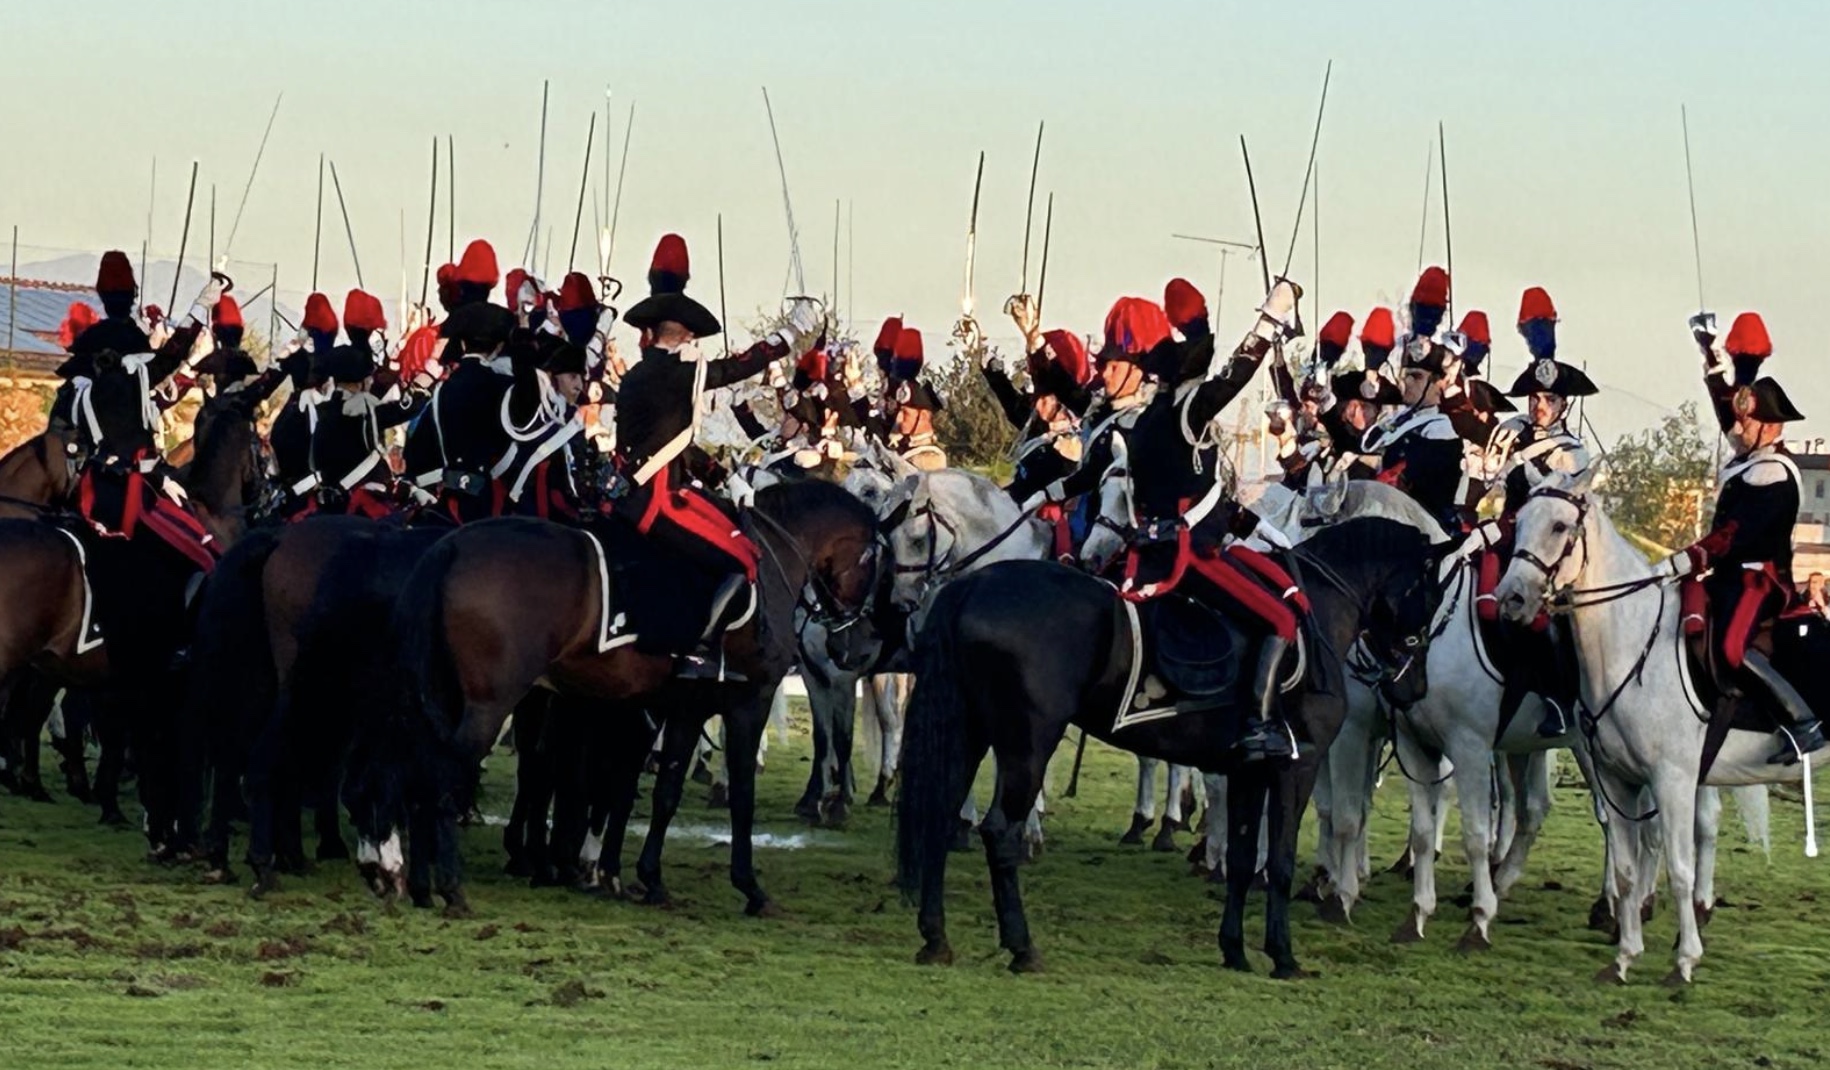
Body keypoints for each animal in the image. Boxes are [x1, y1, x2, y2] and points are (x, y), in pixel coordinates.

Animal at [896, 512, 1442, 973]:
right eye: (1431, 590)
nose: (1414, 688)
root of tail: (972, 585)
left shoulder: (1248, 770)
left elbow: (1242, 859)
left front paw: (1235, 951)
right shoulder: (1296, 767)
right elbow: (1281, 862)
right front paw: (1283, 958)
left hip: (970, 732)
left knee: (938, 816)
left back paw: (935, 939)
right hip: (1027, 744)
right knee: (999, 831)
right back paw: (1022, 947)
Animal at [1493, 468, 1822, 987]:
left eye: (1561, 526)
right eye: (1520, 519)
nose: (1512, 599)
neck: (1631, 644)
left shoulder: (1672, 780)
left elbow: (1680, 868)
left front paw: (1684, 961)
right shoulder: (1618, 780)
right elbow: (1628, 868)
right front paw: (1624, 956)